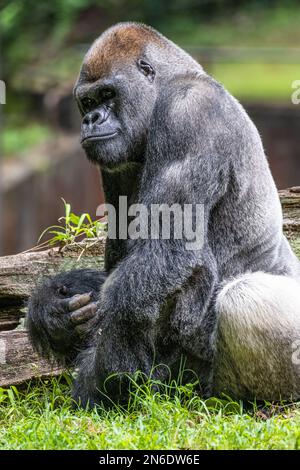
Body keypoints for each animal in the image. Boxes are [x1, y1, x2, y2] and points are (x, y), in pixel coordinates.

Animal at [27, 22, 300, 406]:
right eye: (88, 102)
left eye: (108, 94)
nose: (91, 119)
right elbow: (120, 265)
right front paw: (51, 311)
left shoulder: (189, 112)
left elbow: (164, 257)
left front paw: (100, 379)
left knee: (242, 299)